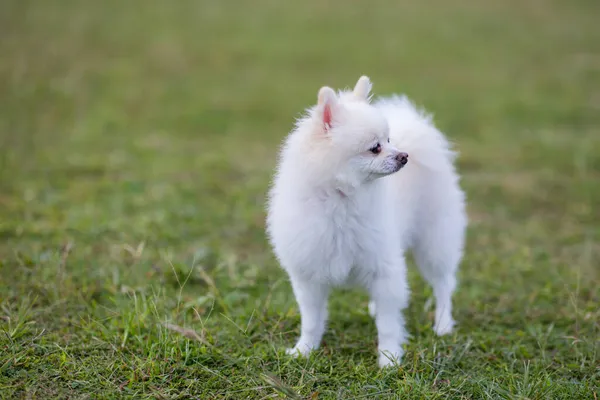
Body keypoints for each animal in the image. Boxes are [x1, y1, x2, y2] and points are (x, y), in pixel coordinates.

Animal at [264, 76, 466, 368]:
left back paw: (443, 324)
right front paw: (305, 349)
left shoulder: (384, 267)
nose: (404, 155)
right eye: (375, 147)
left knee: (443, 285)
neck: (342, 201)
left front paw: (389, 358)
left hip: (434, 243)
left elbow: (389, 324)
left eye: (389, 140)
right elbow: (311, 320)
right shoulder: (309, 274)